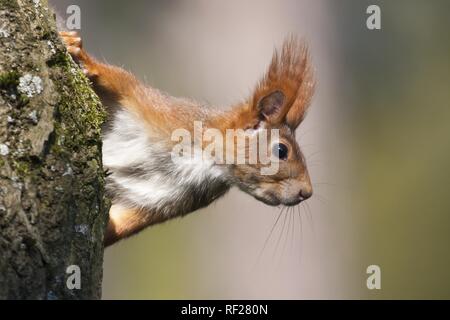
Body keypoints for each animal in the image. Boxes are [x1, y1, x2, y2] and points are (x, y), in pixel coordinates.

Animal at [58, 31, 314, 245]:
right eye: (281, 151)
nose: (307, 193)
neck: (202, 159)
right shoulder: (154, 106)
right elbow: (119, 80)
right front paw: (79, 51)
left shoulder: (162, 202)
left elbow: (121, 224)